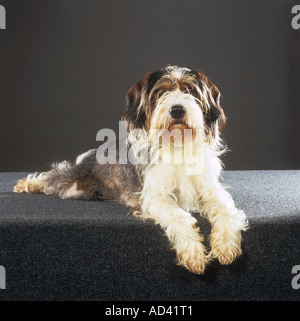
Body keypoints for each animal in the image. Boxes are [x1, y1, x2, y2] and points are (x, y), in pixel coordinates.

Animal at [14, 65, 247, 276]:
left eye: (189, 90)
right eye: (161, 92)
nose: (178, 110)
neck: (177, 144)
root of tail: (91, 154)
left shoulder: (212, 191)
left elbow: (227, 211)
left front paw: (226, 246)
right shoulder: (155, 197)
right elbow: (179, 217)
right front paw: (194, 254)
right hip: (72, 185)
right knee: (54, 174)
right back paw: (28, 184)